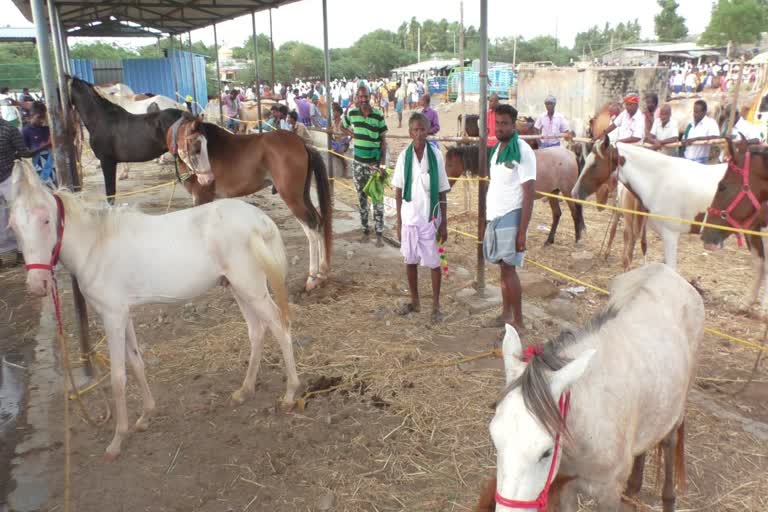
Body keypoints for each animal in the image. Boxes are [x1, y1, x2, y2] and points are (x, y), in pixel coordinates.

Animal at [12, 163, 300, 460]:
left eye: (46, 220)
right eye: (13, 226)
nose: (37, 284)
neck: (95, 246)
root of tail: (260, 221)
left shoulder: (112, 316)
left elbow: (118, 377)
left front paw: (117, 440)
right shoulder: (123, 313)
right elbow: (136, 362)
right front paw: (145, 417)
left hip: (250, 287)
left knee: (280, 326)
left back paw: (290, 394)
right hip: (239, 288)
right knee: (257, 330)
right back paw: (244, 390)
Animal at [170, 117, 332, 290]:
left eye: (199, 147)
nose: (207, 178)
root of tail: (302, 144)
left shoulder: (202, 198)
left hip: (292, 198)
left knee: (312, 228)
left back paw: (312, 278)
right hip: (303, 195)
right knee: (319, 223)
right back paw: (322, 274)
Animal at [440, 143, 584, 245]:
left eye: (450, 164)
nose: (445, 187)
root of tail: (571, 155)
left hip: (567, 192)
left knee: (575, 213)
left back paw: (577, 239)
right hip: (552, 192)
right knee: (557, 214)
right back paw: (549, 240)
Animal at [492, 264, 704, 512]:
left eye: (546, 452)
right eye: (494, 440)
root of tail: (667, 269)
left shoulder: (608, 493)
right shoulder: (566, 486)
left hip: (676, 410)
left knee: (669, 442)